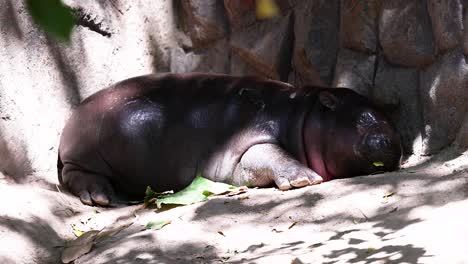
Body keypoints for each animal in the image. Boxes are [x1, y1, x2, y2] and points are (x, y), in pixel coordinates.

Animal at [58, 72, 402, 206]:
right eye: (362, 118)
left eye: (386, 113)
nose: (395, 142)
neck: (302, 115)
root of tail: (72, 115)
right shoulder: (248, 144)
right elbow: (272, 156)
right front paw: (306, 179)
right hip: (84, 155)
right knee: (76, 175)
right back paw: (101, 197)